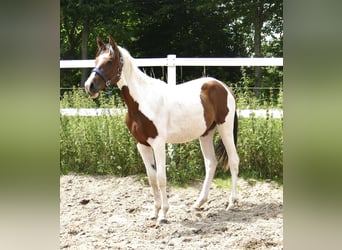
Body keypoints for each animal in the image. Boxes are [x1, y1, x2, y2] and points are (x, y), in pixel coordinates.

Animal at [84, 35, 239, 223]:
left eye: (109, 61)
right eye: (96, 60)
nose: (89, 86)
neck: (142, 101)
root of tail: (224, 87)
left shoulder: (158, 143)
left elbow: (161, 178)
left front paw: (164, 214)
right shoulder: (141, 144)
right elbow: (151, 178)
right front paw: (155, 212)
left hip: (225, 128)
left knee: (233, 160)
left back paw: (231, 203)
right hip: (206, 133)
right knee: (211, 163)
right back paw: (199, 203)